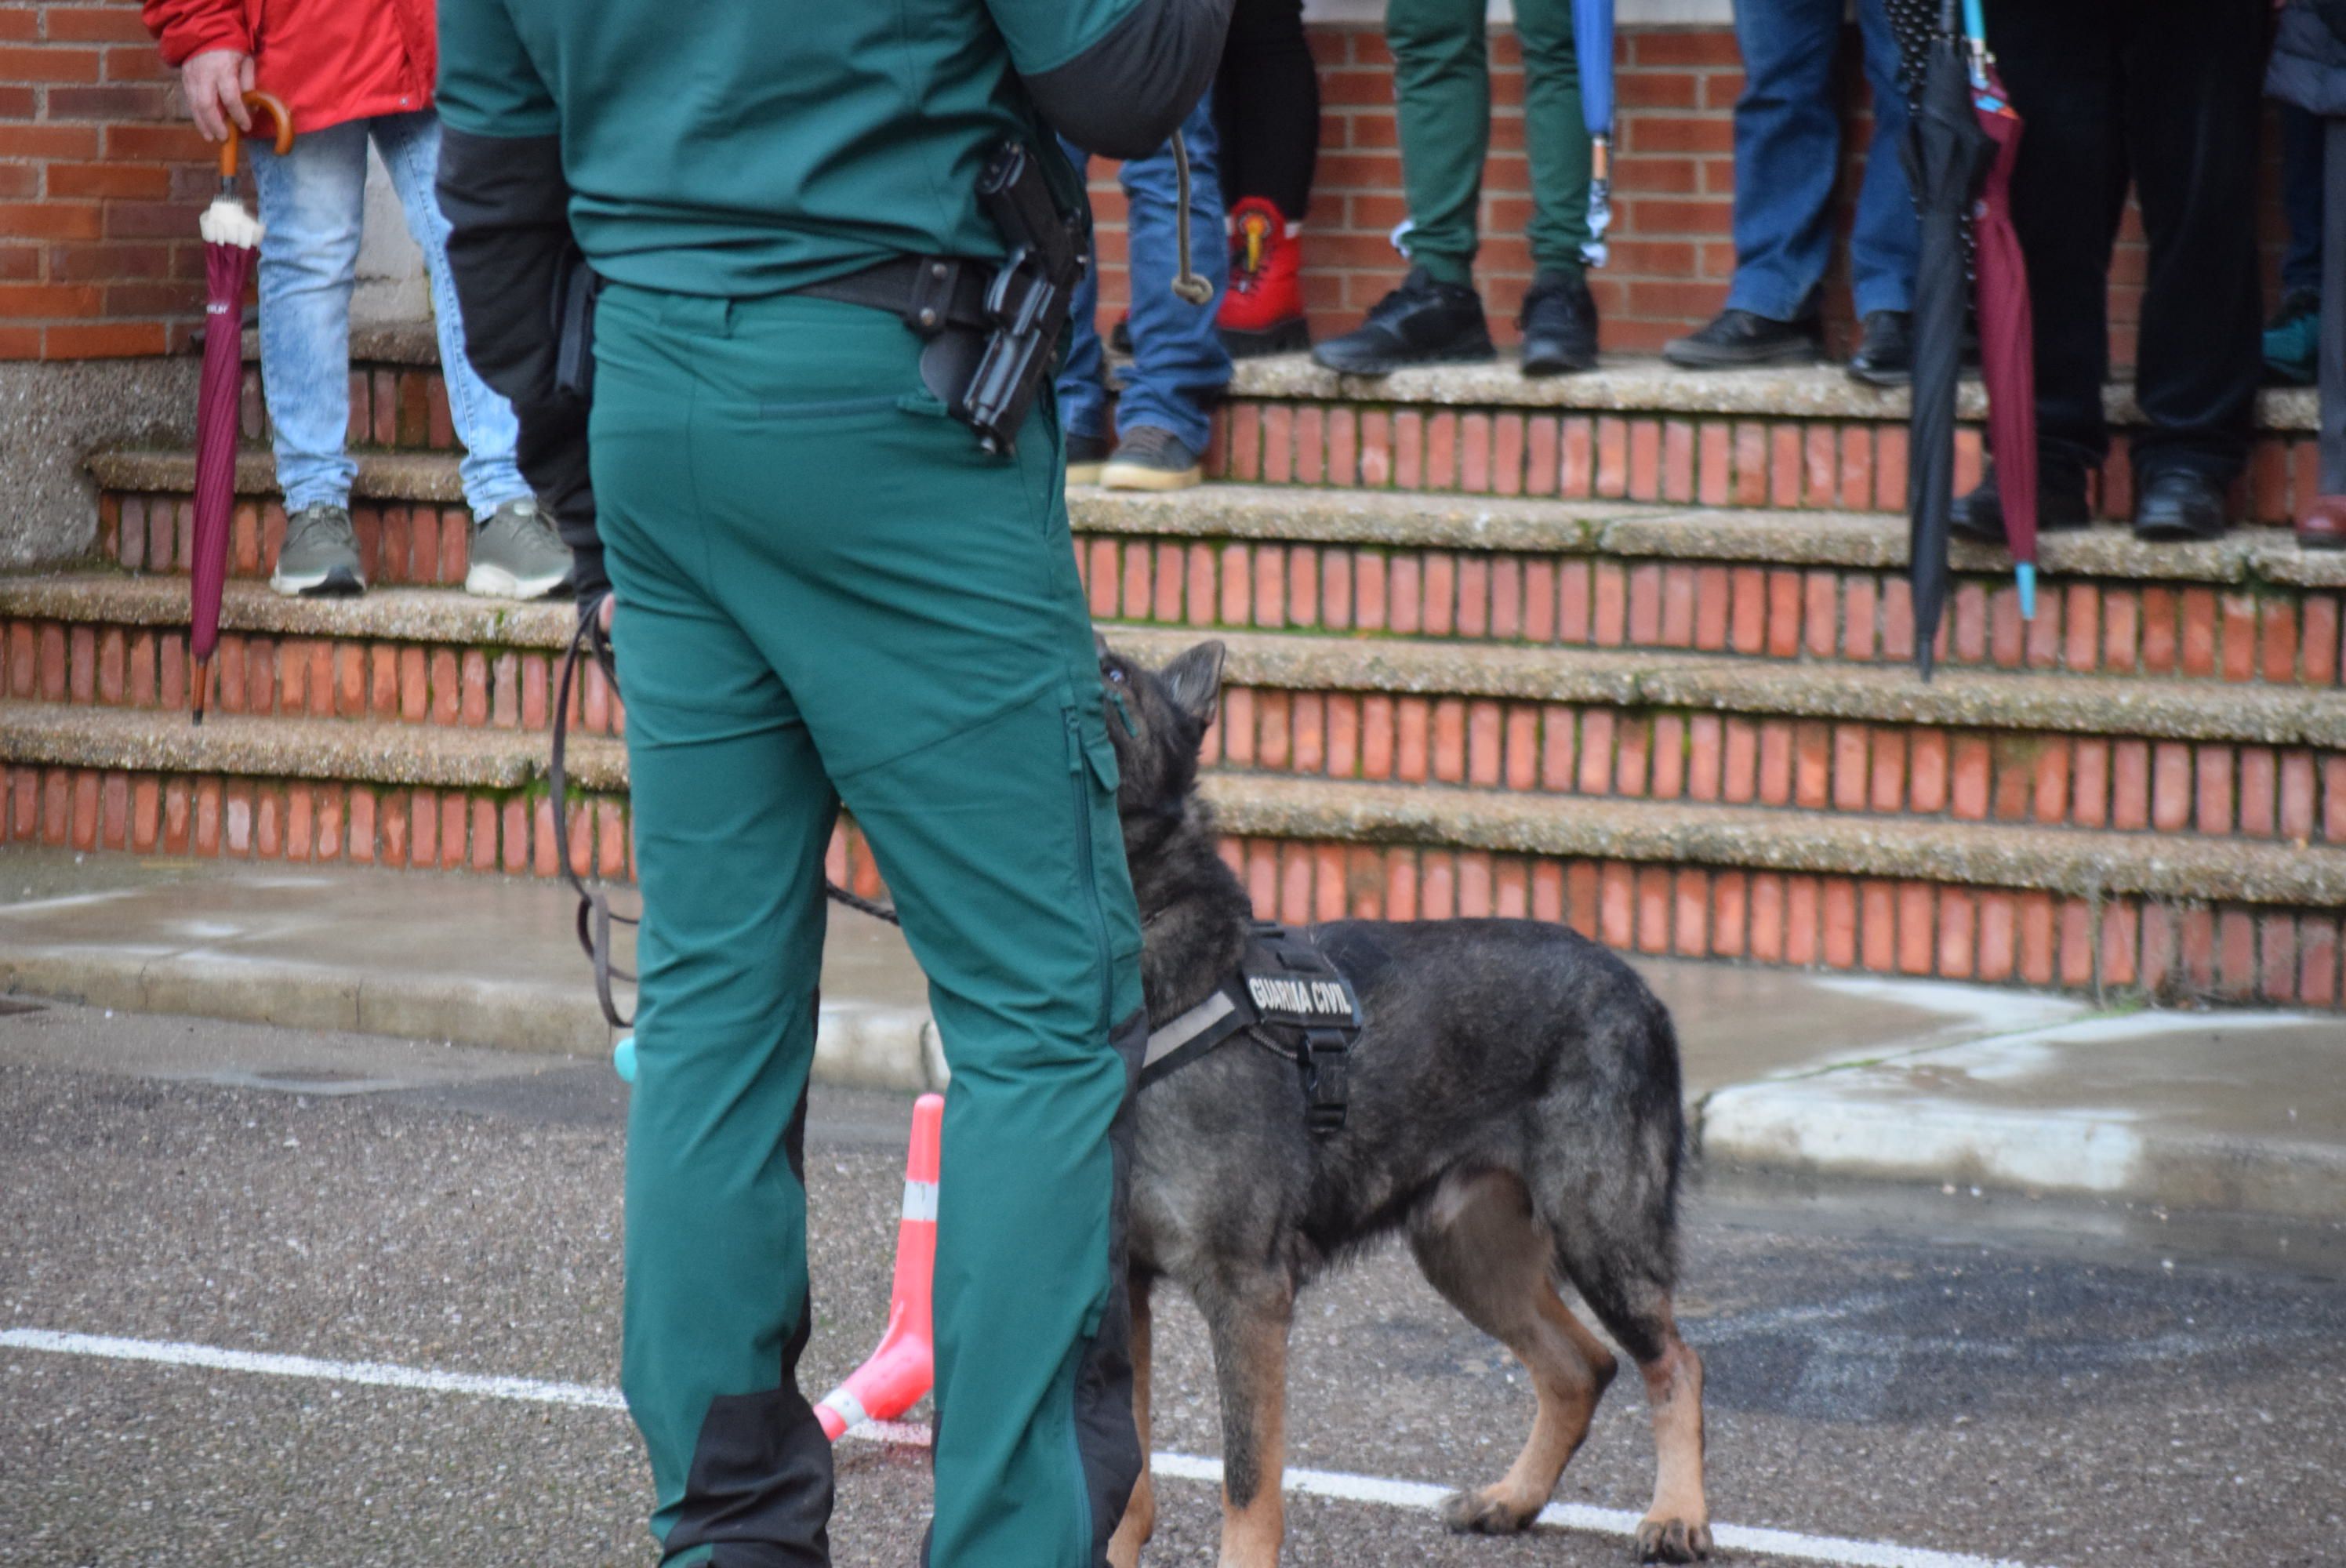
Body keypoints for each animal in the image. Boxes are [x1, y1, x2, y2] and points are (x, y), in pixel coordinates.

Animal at [1088, 638, 1717, 1567]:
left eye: (1115, 676)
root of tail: (1636, 984)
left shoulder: (1246, 1294)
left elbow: (1247, 1482)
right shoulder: (1122, 1288)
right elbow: (1127, 1482)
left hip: (1601, 1235)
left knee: (1673, 1361)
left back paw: (1677, 1511)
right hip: (1465, 1251)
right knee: (1581, 1367)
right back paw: (1512, 1498)